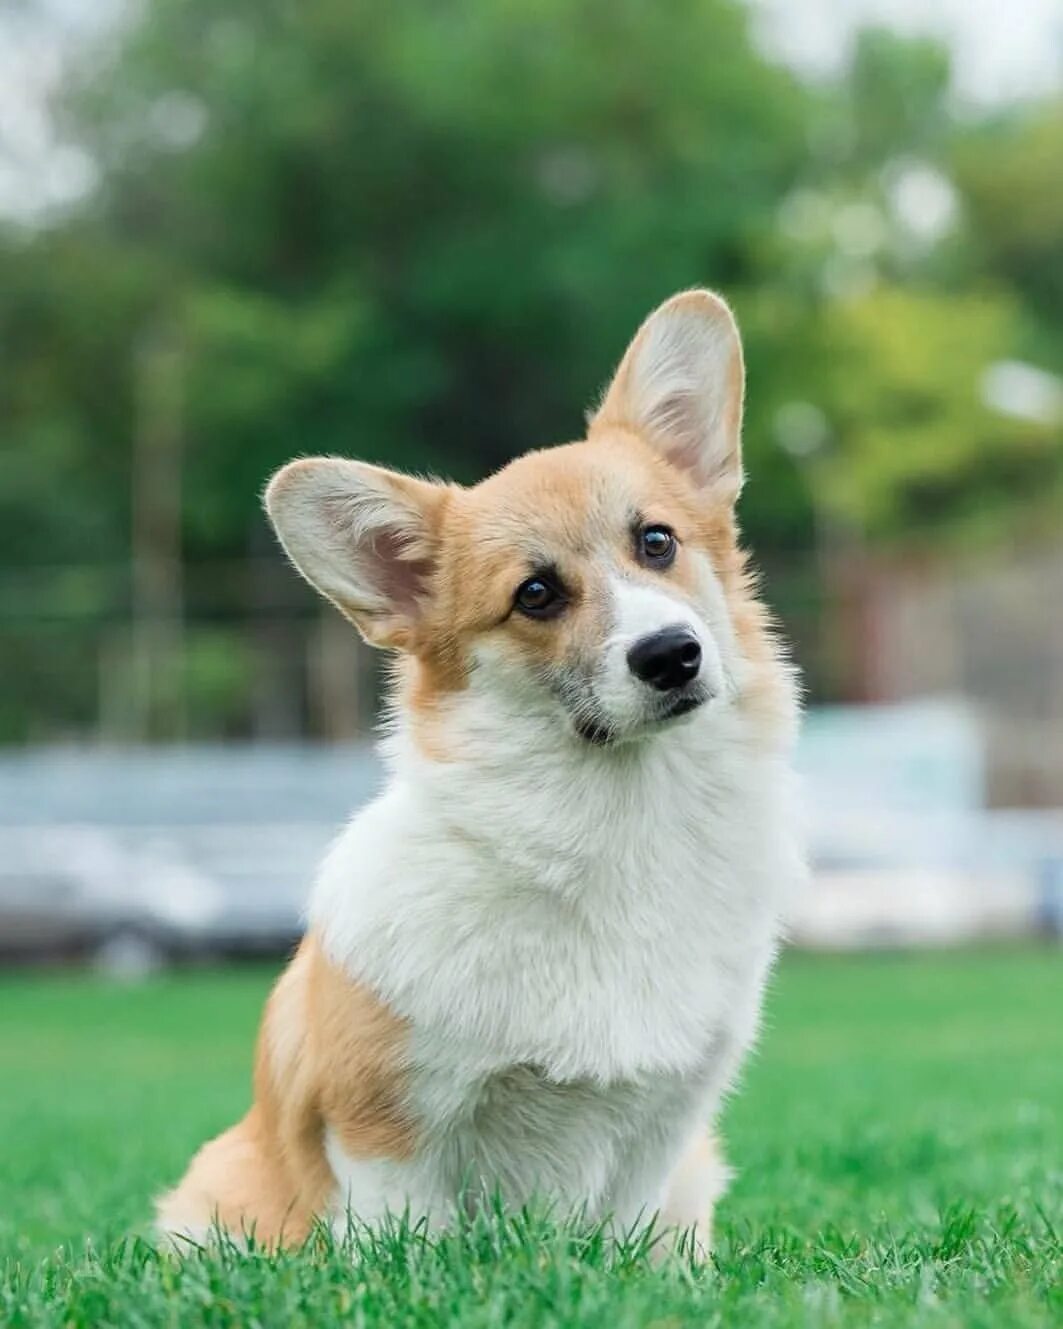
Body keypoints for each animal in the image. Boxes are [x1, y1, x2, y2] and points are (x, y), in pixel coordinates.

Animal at [158, 291, 802, 1254]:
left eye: (656, 542)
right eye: (534, 594)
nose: (670, 654)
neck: (614, 819)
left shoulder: (661, 1128)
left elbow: (628, 1235)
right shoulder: (385, 1126)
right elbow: (411, 1239)